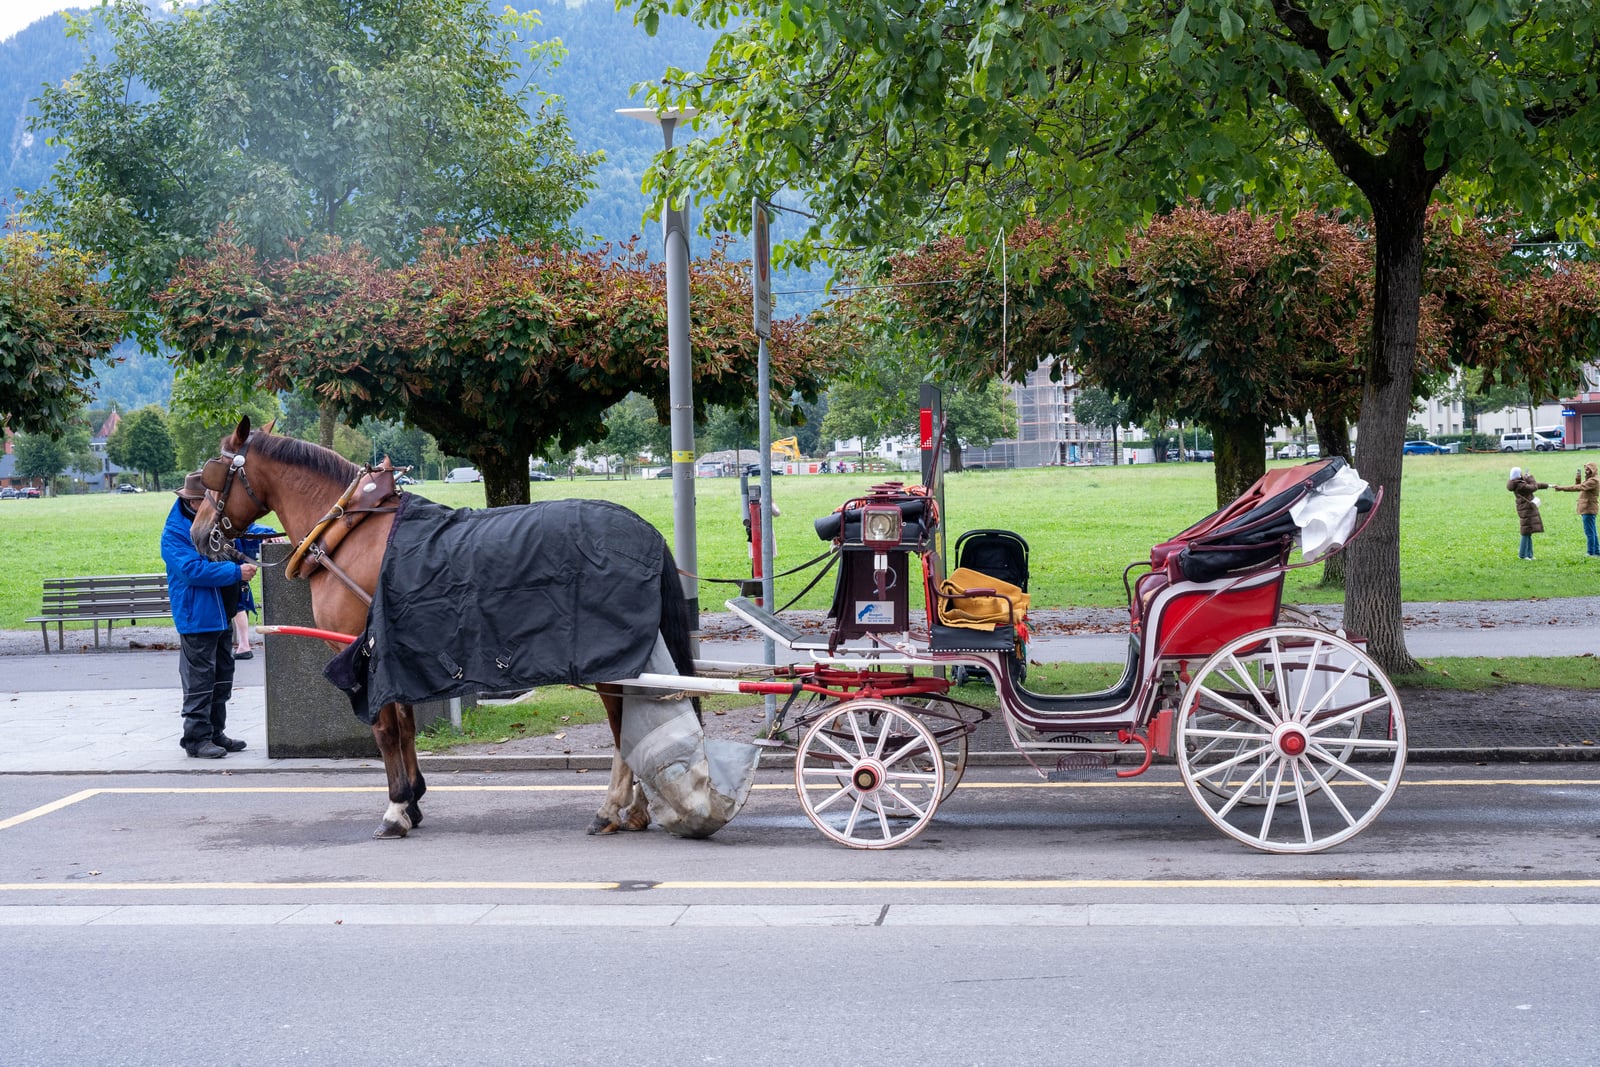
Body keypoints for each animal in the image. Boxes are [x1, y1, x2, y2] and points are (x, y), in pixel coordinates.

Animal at [191, 415, 697, 840]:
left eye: (214, 472)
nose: (198, 532)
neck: (349, 531)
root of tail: (643, 529)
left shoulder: (366, 652)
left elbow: (385, 729)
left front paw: (396, 808)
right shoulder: (394, 652)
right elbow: (406, 725)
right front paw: (413, 800)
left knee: (621, 725)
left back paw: (613, 808)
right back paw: (636, 810)